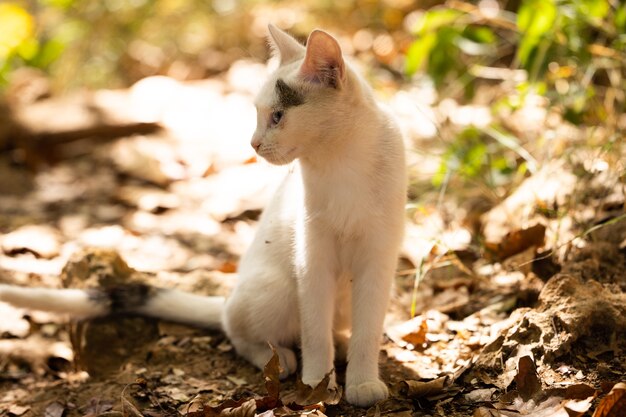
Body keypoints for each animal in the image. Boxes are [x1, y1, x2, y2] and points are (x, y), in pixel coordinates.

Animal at [0, 25, 404, 406]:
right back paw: (278, 357)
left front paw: (362, 382)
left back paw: (339, 344)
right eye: (259, 115)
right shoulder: (312, 257)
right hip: (274, 289)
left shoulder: (378, 259)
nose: (253, 144)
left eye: (277, 116)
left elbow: (367, 331)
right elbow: (314, 332)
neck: (340, 161)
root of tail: (229, 298)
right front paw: (317, 384)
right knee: (241, 330)